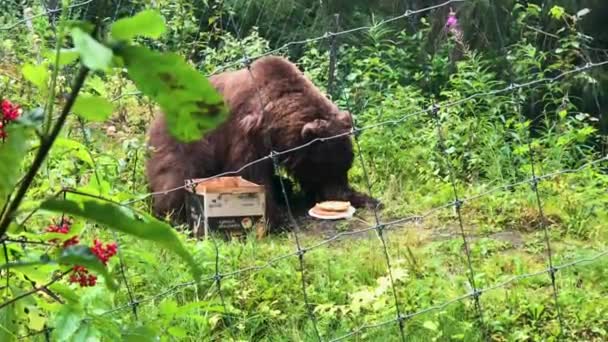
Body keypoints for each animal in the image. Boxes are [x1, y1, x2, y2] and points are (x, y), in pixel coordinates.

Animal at [144, 54, 378, 230]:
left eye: (346, 165)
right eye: (326, 168)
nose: (340, 194)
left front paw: (367, 198)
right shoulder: (246, 132)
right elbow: (251, 174)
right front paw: (276, 219)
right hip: (185, 138)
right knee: (175, 175)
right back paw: (173, 215)